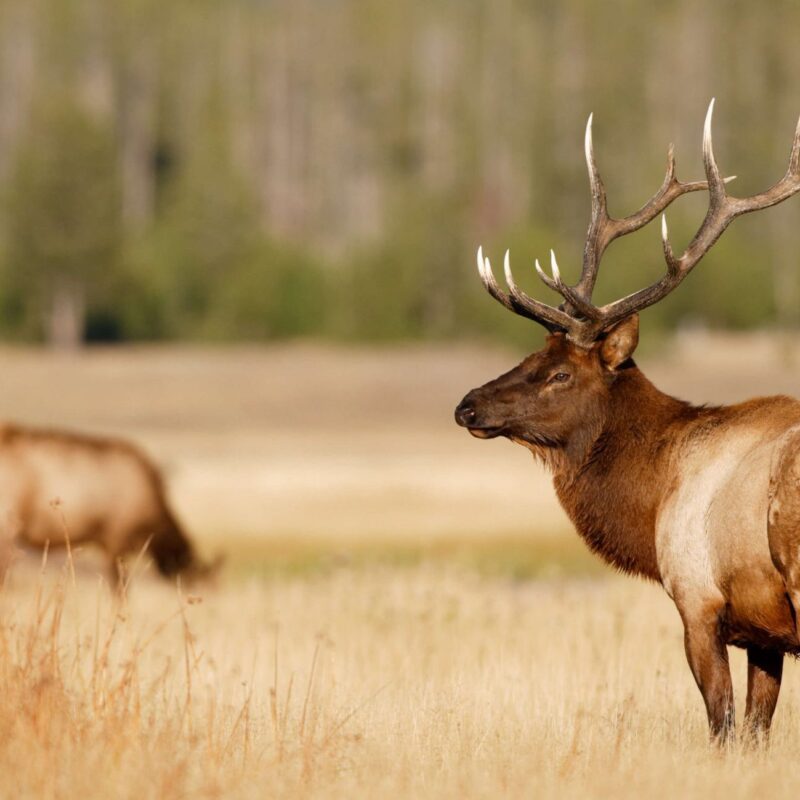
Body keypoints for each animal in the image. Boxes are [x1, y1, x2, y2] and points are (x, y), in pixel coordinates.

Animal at [455, 100, 800, 742]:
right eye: (531, 355)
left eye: (560, 373)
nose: (467, 405)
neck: (655, 494)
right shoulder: (764, 634)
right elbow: (756, 731)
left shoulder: (698, 601)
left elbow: (722, 726)